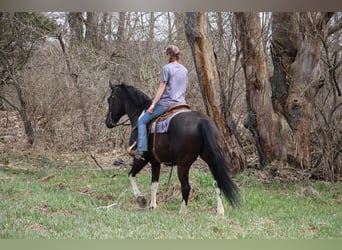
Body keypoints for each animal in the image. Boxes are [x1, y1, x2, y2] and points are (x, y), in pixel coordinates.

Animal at [105, 82, 239, 215]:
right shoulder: (155, 162)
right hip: (210, 158)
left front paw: (141, 199)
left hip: (183, 165)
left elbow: (131, 175)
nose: (108, 122)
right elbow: (154, 184)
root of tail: (202, 121)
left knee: (186, 187)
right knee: (217, 183)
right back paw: (220, 210)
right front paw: (152, 206)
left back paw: (182, 211)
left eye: (110, 99)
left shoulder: (141, 159)